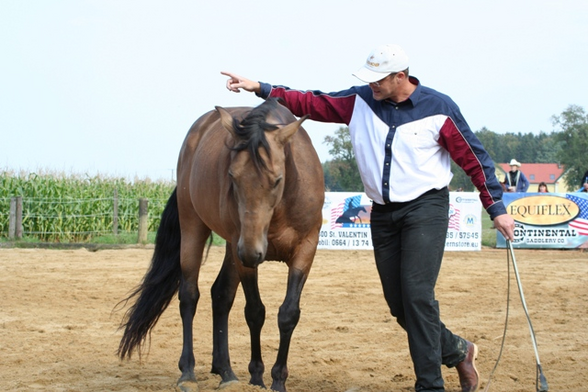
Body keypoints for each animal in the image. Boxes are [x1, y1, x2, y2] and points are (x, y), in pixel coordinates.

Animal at [116, 99, 324, 392]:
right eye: (232, 177)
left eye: (277, 180)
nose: (252, 251)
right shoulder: (244, 255)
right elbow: (255, 312)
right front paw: (257, 377)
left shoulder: (305, 250)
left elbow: (288, 313)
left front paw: (278, 380)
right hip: (196, 229)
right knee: (189, 295)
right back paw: (188, 372)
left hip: (233, 249)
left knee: (221, 294)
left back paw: (225, 370)